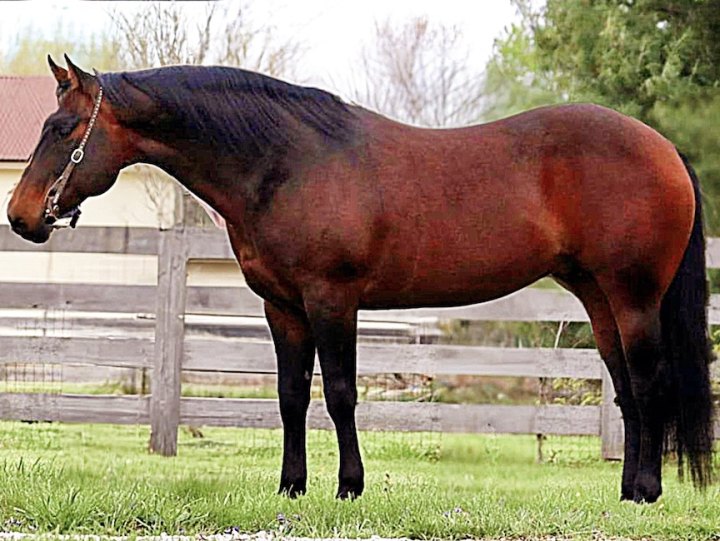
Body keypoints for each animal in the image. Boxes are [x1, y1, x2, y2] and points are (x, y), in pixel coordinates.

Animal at [7, 55, 714, 502]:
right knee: (626, 391)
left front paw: (349, 487)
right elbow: (292, 397)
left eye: (64, 129)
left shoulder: (332, 300)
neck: (287, 164)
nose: (20, 215)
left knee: (650, 386)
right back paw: (625, 491)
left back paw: (647, 492)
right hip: (597, 298)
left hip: (634, 297)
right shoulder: (282, 308)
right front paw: (291, 487)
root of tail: (663, 146)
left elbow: (342, 394)